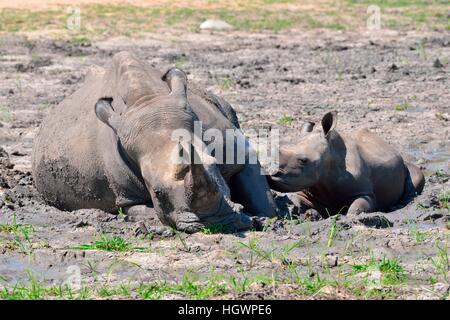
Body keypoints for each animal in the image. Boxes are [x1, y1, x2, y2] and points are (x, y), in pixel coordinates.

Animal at [31, 52, 276, 232]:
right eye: (156, 192)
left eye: (215, 165)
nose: (216, 223)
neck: (147, 101)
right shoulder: (125, 196)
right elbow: (141, 210)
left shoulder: (238, 151)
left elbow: (264, 201)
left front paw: (265, 218)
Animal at [268, 110, 424, 218]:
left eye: (303, 160)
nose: (271, 175)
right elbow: (297, 199)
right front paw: (299, 211)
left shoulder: (364, 192)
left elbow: (357, 207)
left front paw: (350, 218)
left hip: (405, 165)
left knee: (416, 174)